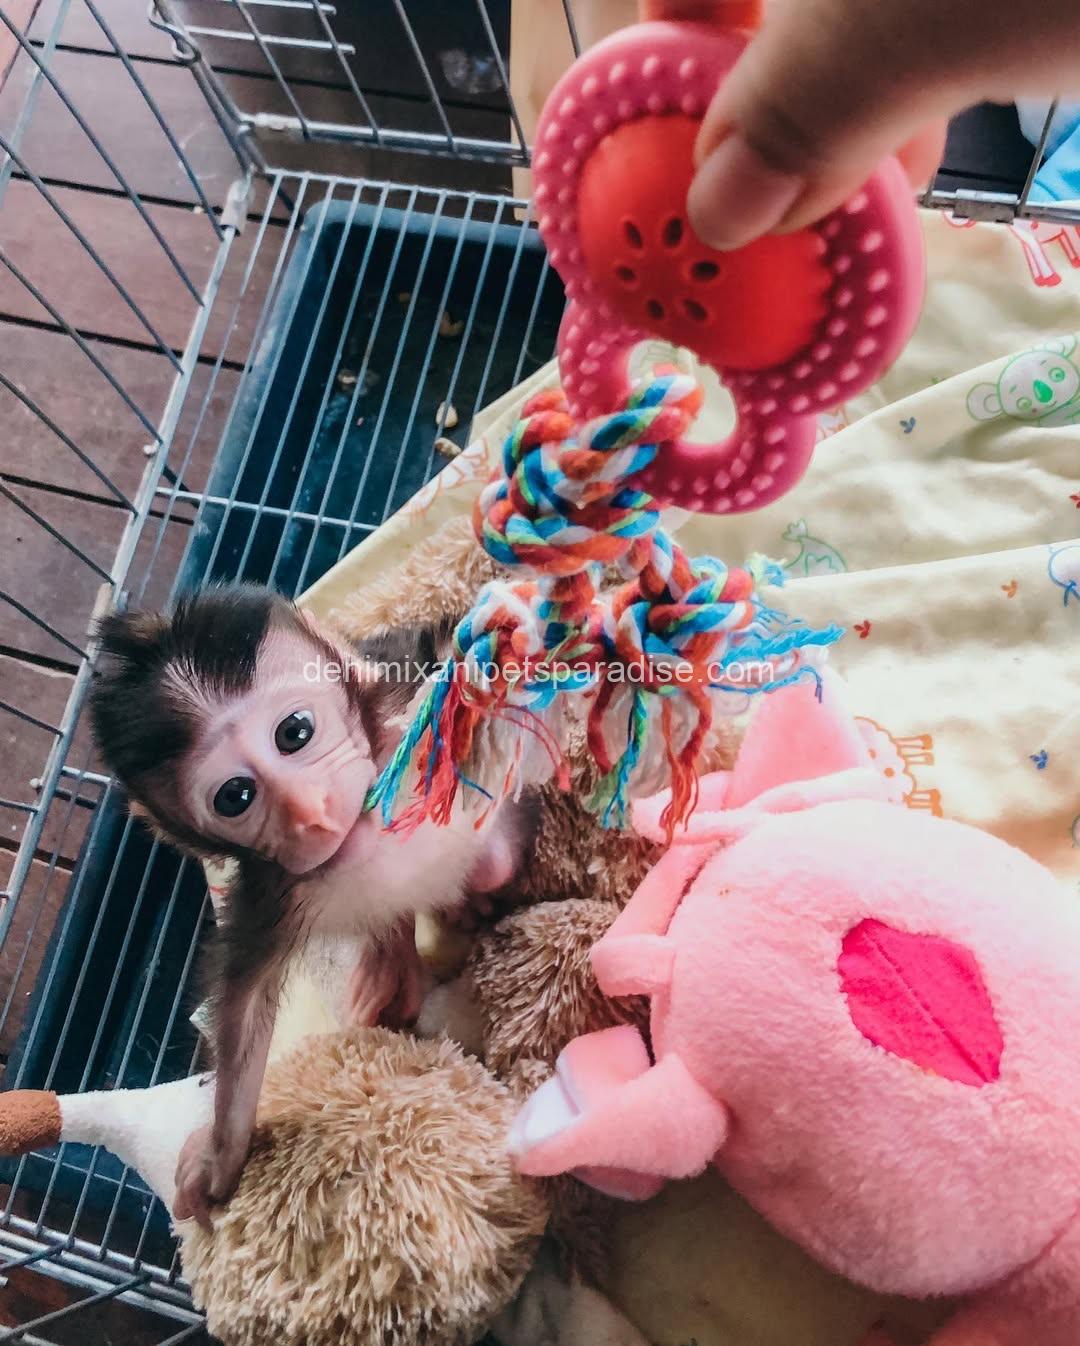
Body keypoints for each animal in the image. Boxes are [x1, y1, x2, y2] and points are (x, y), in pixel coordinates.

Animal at [87, 584, 533, 1228]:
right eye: (236, 796)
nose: (309, 811)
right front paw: (222, 1158)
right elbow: (246, 1008)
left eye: (294, 732)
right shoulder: (271, 892)